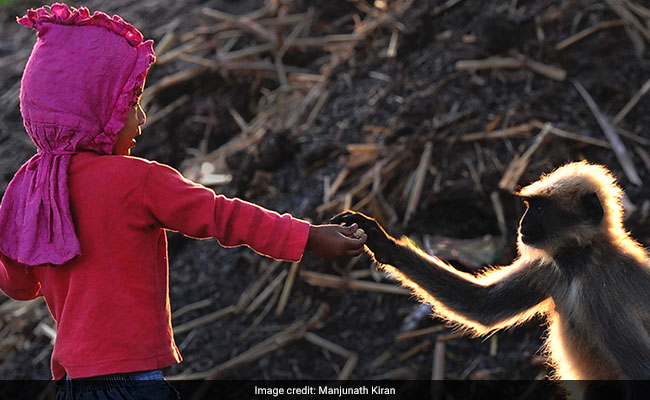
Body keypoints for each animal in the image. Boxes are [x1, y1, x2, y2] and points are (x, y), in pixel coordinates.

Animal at [331, 161, 650, 397]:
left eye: (539, 209)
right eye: (530, 207)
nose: (522, 223)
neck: (581, 261)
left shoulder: (602, 290)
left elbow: (641, 374)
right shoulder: (546, 267)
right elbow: (482, 306)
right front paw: (382, 243)